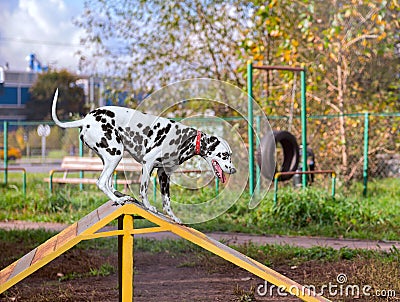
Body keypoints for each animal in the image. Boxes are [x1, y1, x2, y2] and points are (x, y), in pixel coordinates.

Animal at [51, 88, 236, 223]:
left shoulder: (163, 174)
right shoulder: (148, 164)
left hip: (110, 158)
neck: (186, 139)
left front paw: (173, 217)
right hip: (115, 155)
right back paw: (119, 200)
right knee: (102, 182)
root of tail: (86, 120)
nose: (233, 170)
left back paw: (120, 197)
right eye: (224, 155)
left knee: (108, 182)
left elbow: (167, 201)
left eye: (230, 155)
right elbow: (144, 190)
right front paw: (148, 206)